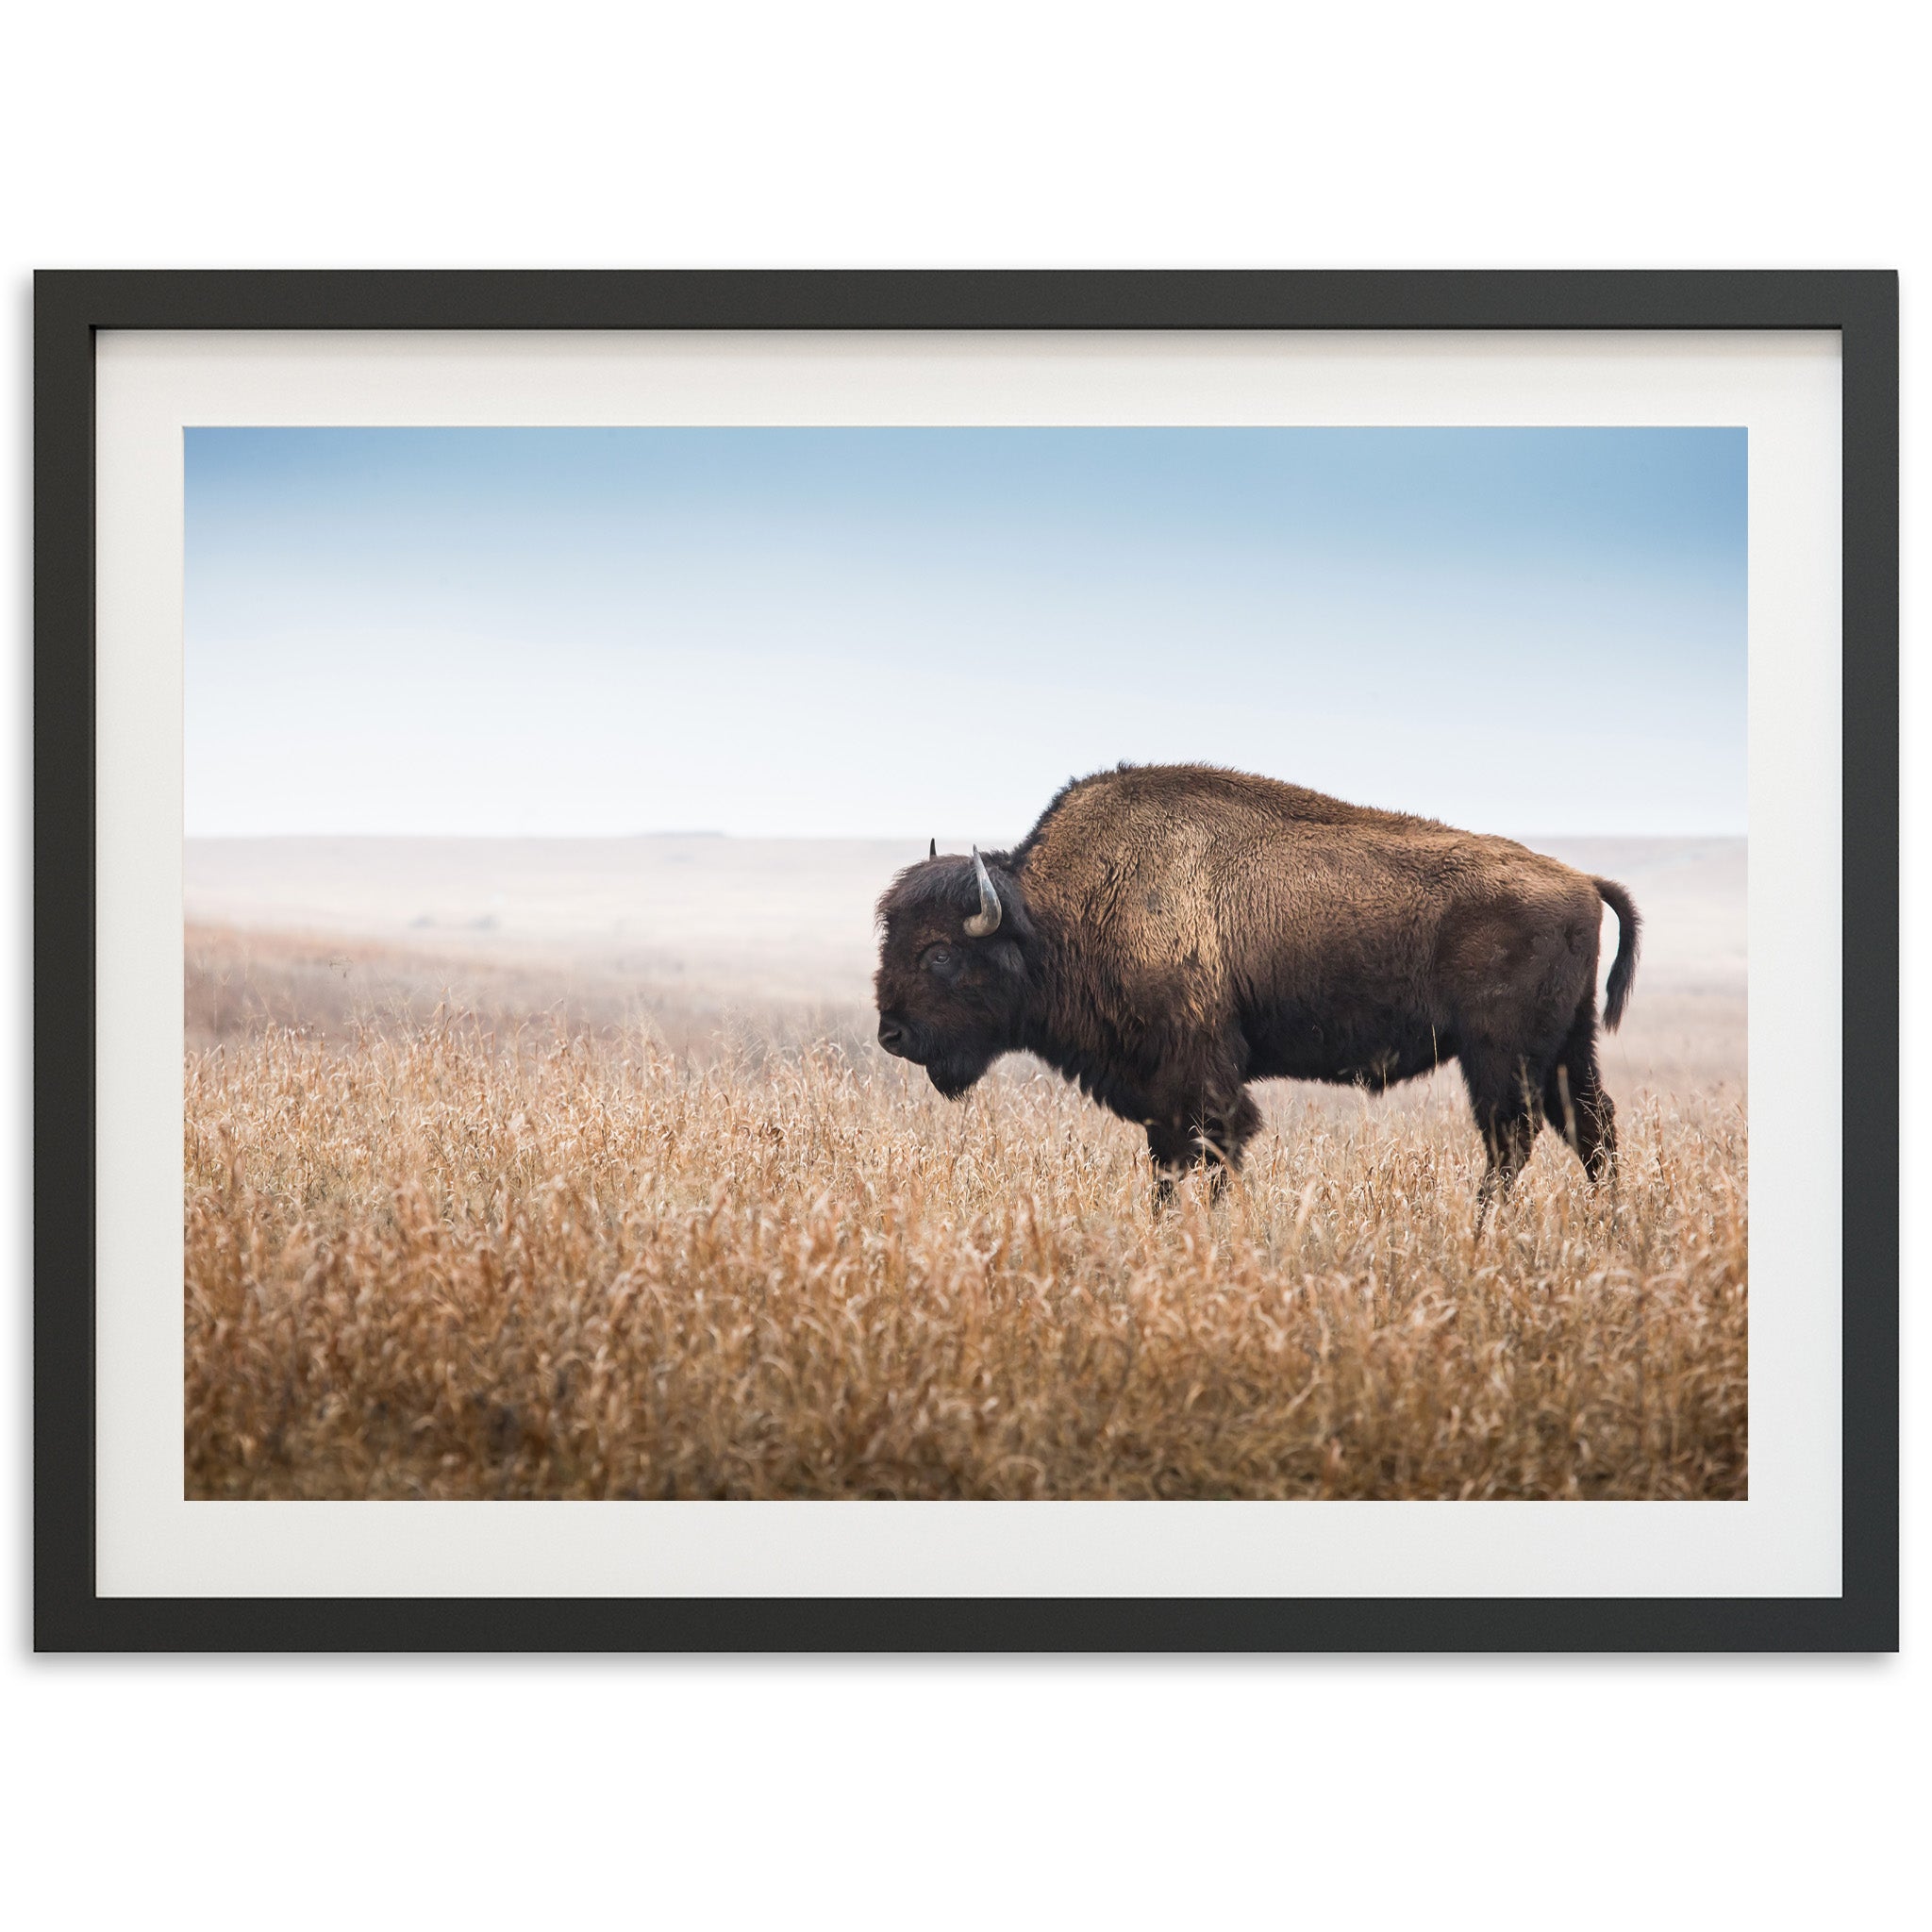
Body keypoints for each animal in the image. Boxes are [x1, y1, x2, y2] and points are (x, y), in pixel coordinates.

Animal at [876, 757, 1645, 1221]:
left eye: (940, 953)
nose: (891, 1034)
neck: (1055, 914)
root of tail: (1581, 880)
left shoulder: (1201, 1078)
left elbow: (1214, 1150)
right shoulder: (1161, 1092)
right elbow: (1168, 1165)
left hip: (1500, 1055)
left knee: (1513, 1139)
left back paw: (1483, 1229)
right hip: (1565, 1049)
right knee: (1590, 1128)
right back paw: (1606, 1227)